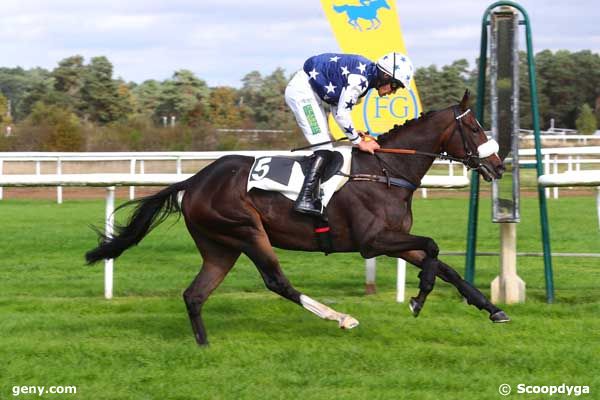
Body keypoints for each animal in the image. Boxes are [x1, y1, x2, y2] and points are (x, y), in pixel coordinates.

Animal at [88, 90, 510, 344]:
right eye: (475, 127)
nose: (499, 165)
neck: (386, 169)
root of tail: (193, 180)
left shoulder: (395, 241)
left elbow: (446, 266)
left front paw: (492, 309)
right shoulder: (373, 242)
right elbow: (434, 248)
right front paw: (418, 297)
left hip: (220, 247)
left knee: (195, 294)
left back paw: (204, 346)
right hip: (246, 231)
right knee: (277, 281)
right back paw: (341, 317)